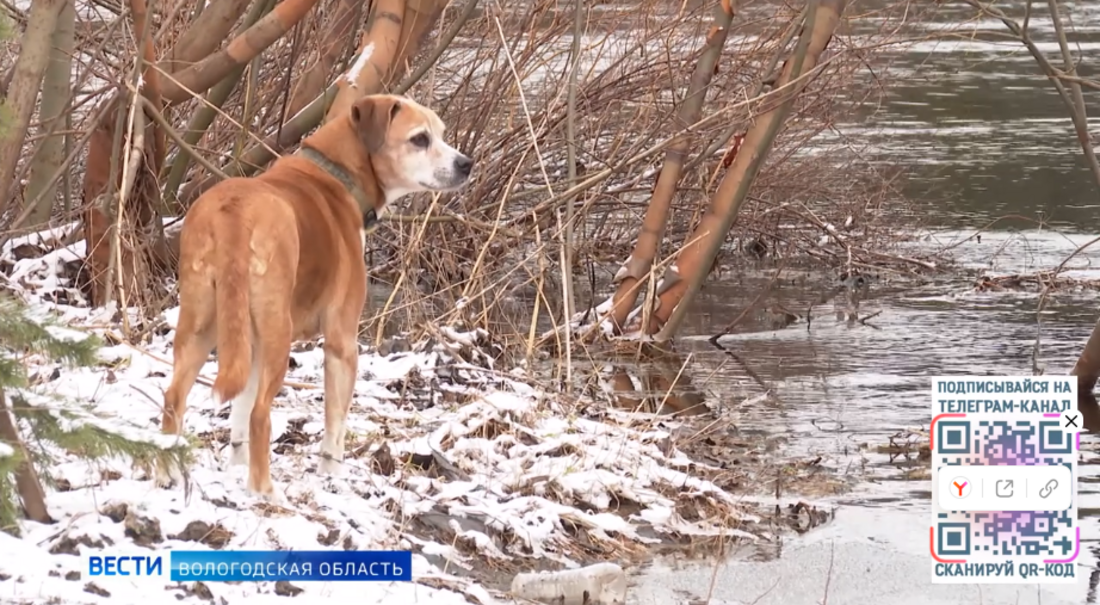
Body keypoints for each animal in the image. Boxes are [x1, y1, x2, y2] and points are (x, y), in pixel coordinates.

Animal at [159, 92, 473, 495]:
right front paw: (332, 476)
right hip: (278, 334)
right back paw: (266, 492)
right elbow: (335, 424)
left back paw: (167, 472)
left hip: (202, 322)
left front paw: (236, 467)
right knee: (261, 414)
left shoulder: (251, 343)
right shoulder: (342, 343)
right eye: (420, 139)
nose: (466, 164)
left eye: (441, 134)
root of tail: (235, 215)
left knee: (175, 397)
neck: (338, 174)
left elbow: (239, 411)